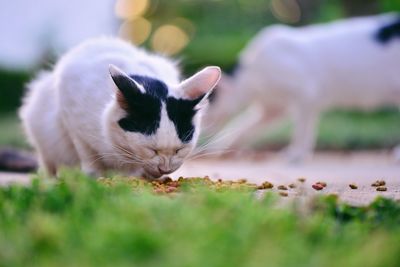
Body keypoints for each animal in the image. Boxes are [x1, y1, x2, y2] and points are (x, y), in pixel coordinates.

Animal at [19, 36, 222, 179]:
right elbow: (87, 153)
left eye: (179, 150)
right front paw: (94, 177)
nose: (164, 168)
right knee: (49, 163)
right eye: (151, 150)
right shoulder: (69, 112)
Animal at [203, 12, 400, 162]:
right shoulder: (273, 109)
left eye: (204, 105)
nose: (201, 126)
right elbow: (243, 126)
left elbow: (302, 130)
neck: (253, 76)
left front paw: (295, 155)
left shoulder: (307, 95)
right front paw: (220, 148)